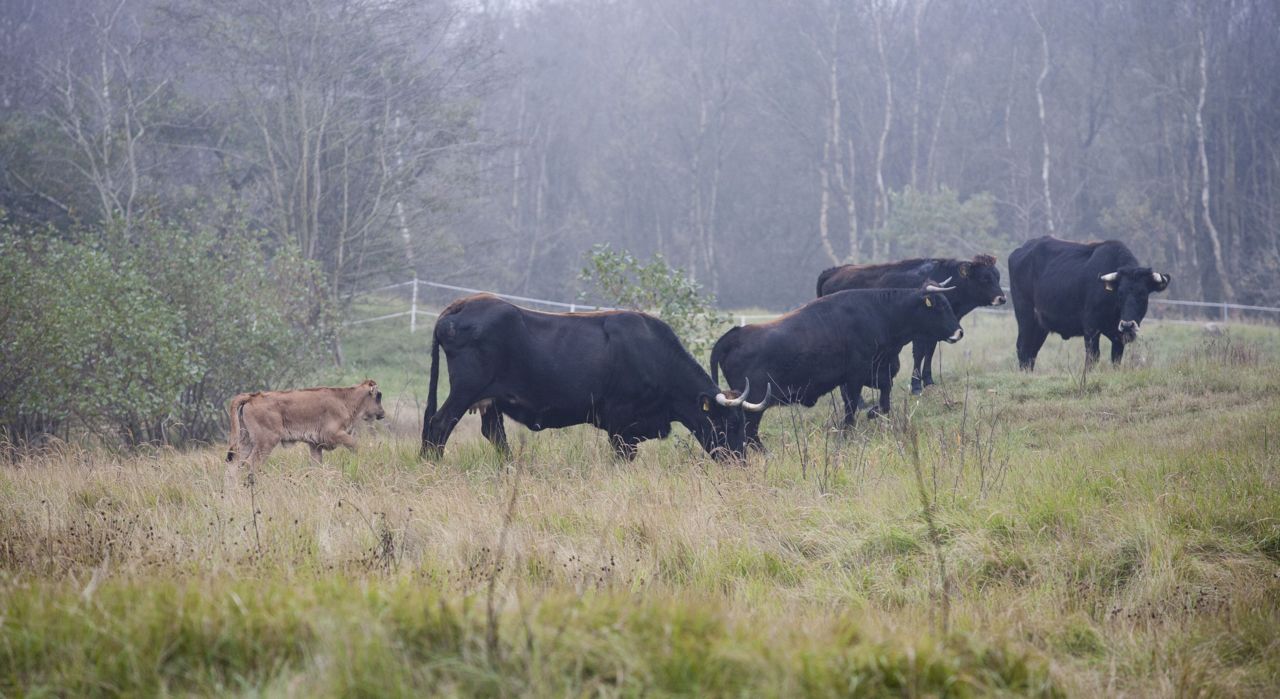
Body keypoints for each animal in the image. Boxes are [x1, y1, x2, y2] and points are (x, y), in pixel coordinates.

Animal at [419, 291, 762, 455]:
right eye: (729, 423)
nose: (740, 462)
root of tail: (463, 304)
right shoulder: (621, 423)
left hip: (490, 400)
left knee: (493, 435)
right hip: (465, 390)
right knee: (439, 424)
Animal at [711, 282, 962, 445]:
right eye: (940, 306)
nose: (959, 332)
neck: (880, 313)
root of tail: (733, 336)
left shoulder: (878, 374)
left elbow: (884, 403)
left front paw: (872, 413)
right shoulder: (854, 377)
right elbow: (851, 411)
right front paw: (847, 435)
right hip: (754, 402)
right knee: (750, 433)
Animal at [1008, 235, 1172, 368]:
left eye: (1143, 293)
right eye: (1120, 293)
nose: (1127, 325)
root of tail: (1021, 250)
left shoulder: (1118, 338)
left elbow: (1116, 360)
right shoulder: (1091, 329)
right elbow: (1093, 358)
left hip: (1040, 326)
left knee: (1032, 352)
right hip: (1025, 317)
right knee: (1023, 348)